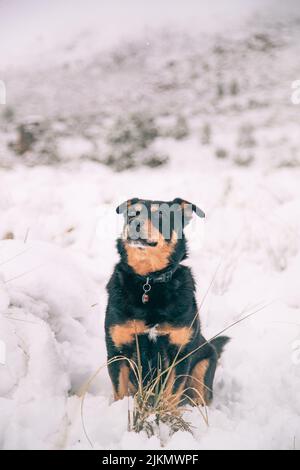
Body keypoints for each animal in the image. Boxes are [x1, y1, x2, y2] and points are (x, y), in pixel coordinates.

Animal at [105, 198, 230, 408]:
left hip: (203, 366)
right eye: (131, 213)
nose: (133, 223)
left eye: (160, 214)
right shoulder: (118, 351)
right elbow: (120, 394)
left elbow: (170, 397)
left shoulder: (179, 354)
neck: (148, 282)